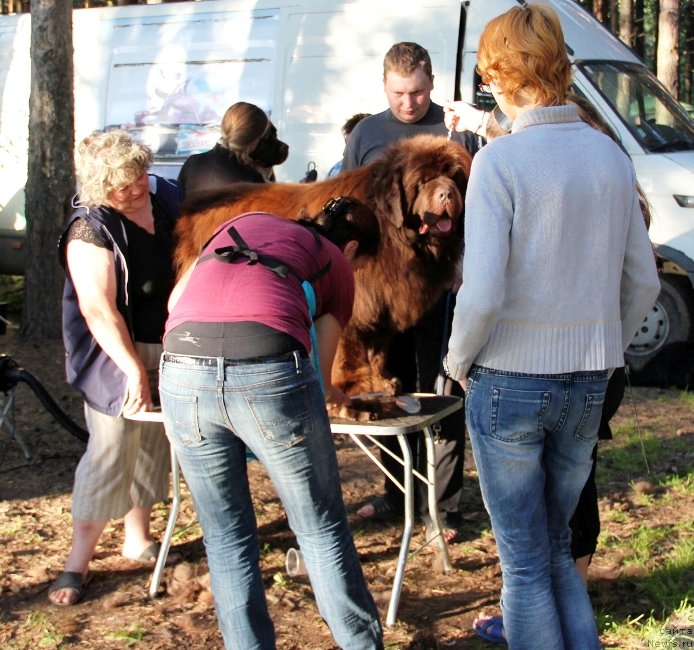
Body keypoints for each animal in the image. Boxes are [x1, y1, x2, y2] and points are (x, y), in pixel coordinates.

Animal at [174, 132, 474, 404]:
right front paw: (357, 386)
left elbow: (377, 348)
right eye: (422, 181)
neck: (396, 234)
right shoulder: (357, 301)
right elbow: (350, 348)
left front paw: (381, 382)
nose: (447, 193)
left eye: (457, 178)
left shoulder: (382, 304)